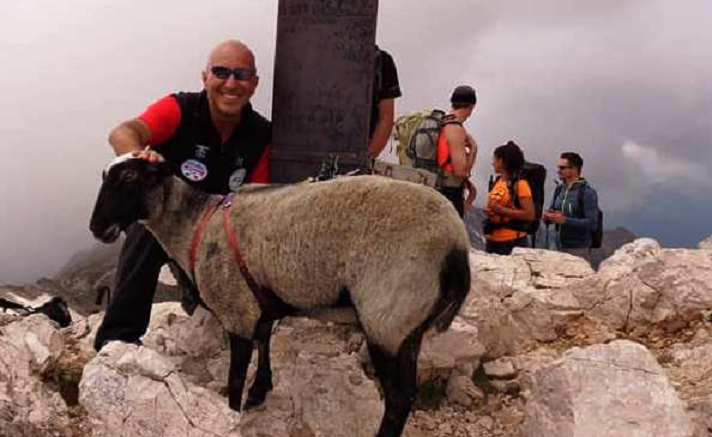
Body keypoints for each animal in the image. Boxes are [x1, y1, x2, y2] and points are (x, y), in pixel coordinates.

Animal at [89, 157, 471, 437]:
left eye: (128, 179)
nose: (96, 227)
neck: (194, 225)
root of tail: (456, 246)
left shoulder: (236, 310)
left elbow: (235, 376)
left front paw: (234, 410)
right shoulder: (256, 301)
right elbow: (265, 341)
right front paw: (261, 389)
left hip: (387, 319)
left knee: (397, 399)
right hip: (409, 328)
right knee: (406, 395)